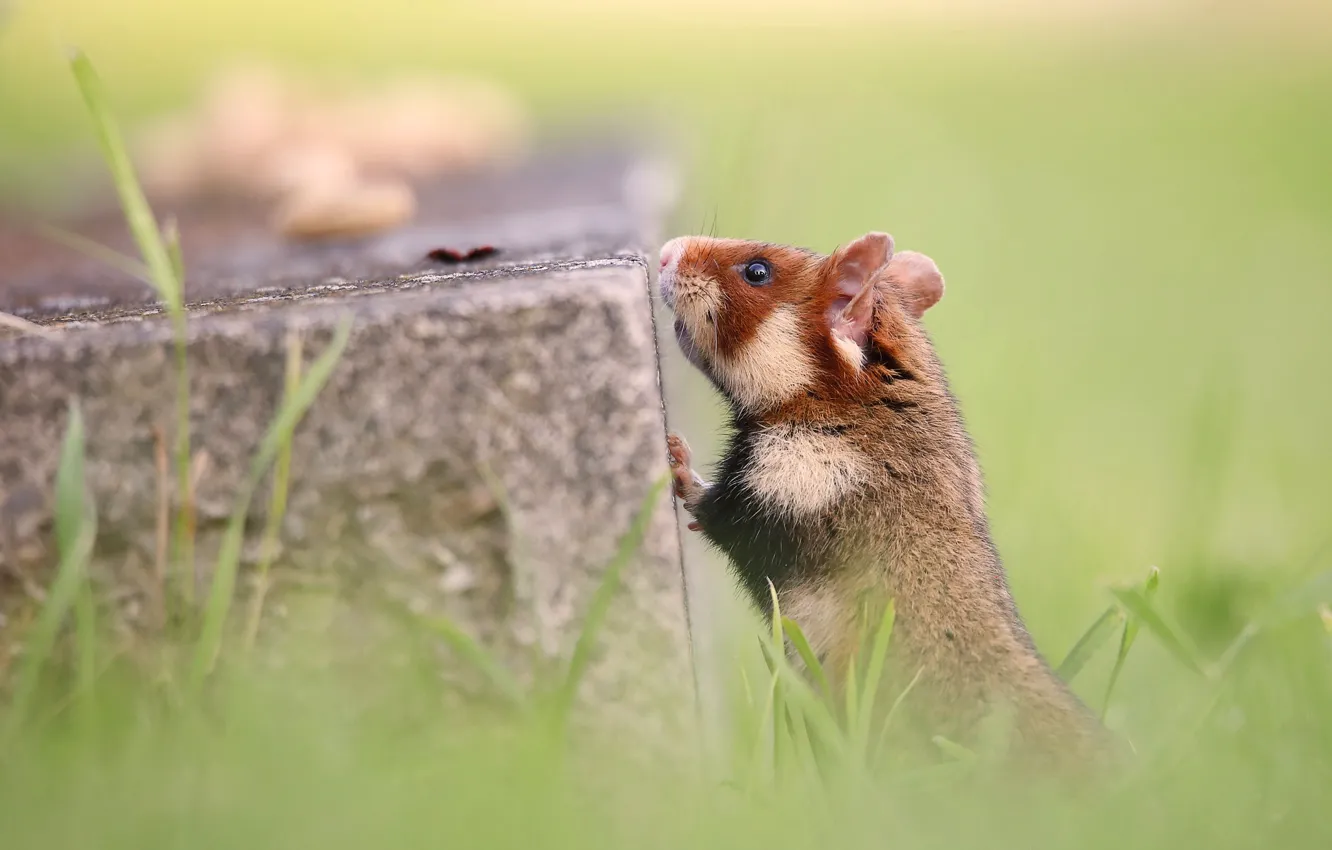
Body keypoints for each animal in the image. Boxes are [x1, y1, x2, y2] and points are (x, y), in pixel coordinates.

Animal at [659, 231, 1113, 768]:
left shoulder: (780, 493)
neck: (854, 411)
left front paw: (675, 456)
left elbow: (706, 505)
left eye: (757, 271)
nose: (665, 252)